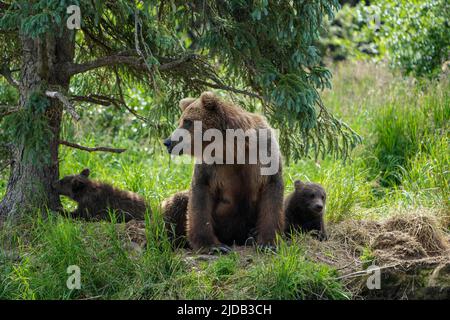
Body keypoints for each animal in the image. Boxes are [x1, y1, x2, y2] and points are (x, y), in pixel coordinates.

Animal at [163, 91, 284, 254]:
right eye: (181, 120)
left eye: (187, 121)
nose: (168, 142)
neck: (232, 149)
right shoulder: (211, 167)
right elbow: (200, 198)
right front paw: (213, 246)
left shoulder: (264, 153)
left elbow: (271, 193)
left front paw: (268, 243)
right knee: (176, 202)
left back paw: (252, 235)